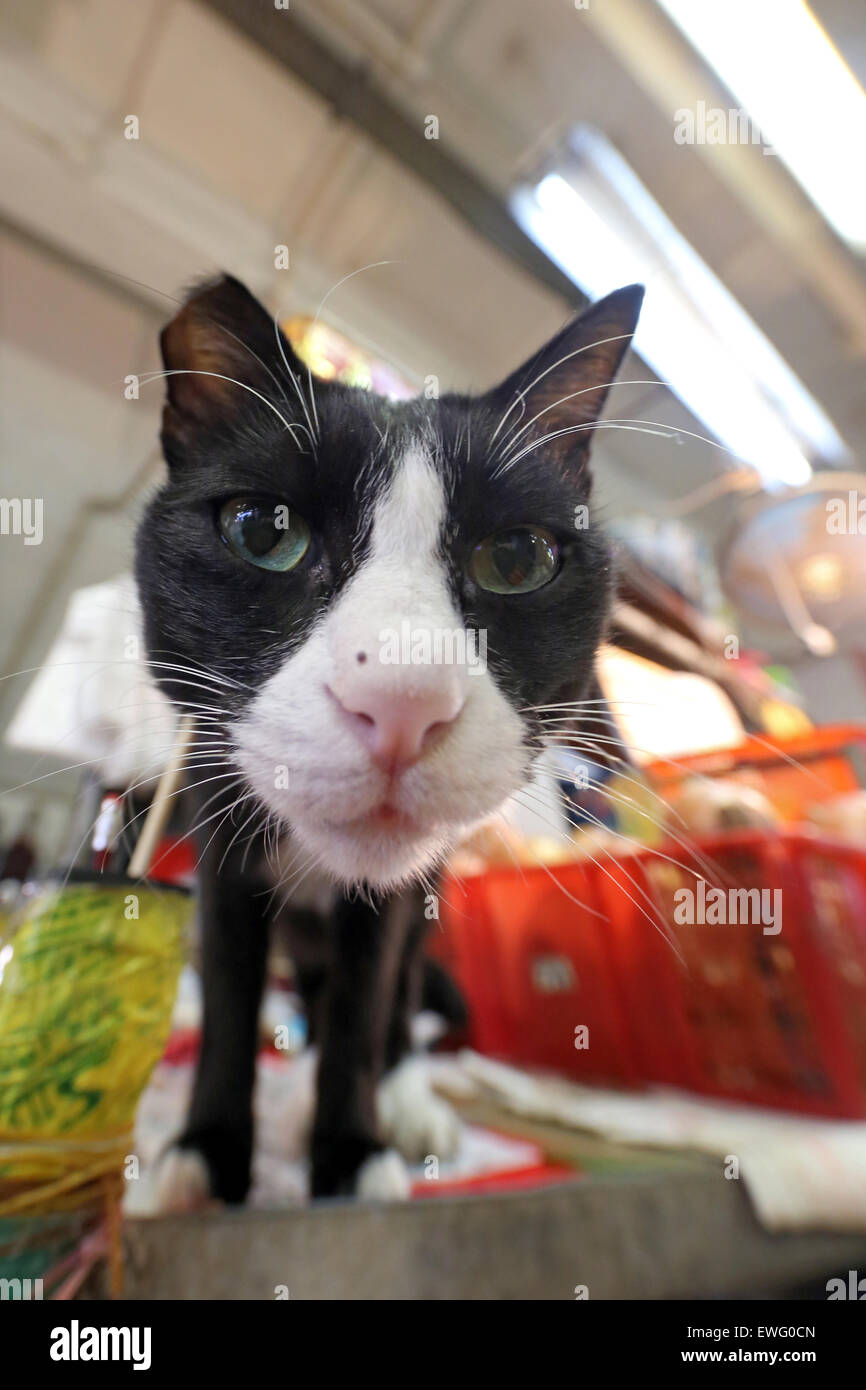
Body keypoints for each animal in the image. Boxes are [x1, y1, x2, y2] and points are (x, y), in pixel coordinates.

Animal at [135, 273, 644, 1206]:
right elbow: (228, 994)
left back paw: (407, 1099)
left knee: (398, 993)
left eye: (516, 558)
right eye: (262, 530)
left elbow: (365, 1007)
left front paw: (350, 1153)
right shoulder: (222, 849)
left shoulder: (390, 901)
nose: (403, 698)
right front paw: (209, 1153)